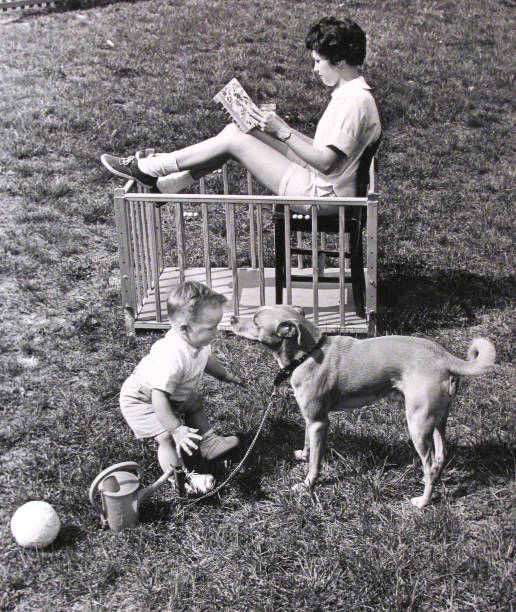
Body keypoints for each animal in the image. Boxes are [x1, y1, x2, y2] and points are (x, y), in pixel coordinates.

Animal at [231, 304, 496, 506]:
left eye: (255, 320)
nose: (232, 318)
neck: (307, 353)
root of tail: (444, 357)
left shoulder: (319, 422)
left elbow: (315, 463)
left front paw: (307, 485)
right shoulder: (310, 418)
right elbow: (307, 443)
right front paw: (303, 455)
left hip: (418, 425)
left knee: (430, 464)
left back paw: (422, 502)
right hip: (438, 420)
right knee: (441, 456)